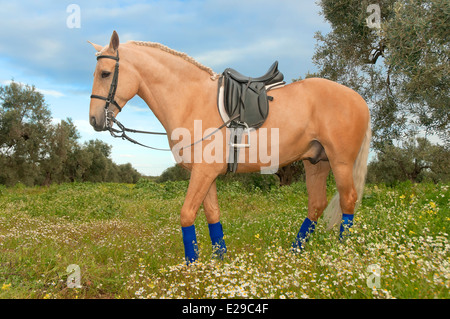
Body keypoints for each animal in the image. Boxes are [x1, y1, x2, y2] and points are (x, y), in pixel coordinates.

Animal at [89, 31, 372, 264]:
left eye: (105, 73)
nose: (94, 120)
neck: (191, 99)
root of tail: (358, 99)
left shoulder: (203, 173)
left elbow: (187, 215)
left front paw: (191, 267)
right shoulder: (206, 174)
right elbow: (213, 215)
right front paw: (219, 261)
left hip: (340, 162)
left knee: (348, 201)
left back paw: (343, 254)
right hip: (316, 162)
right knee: (317, 204)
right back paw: (294, 253)